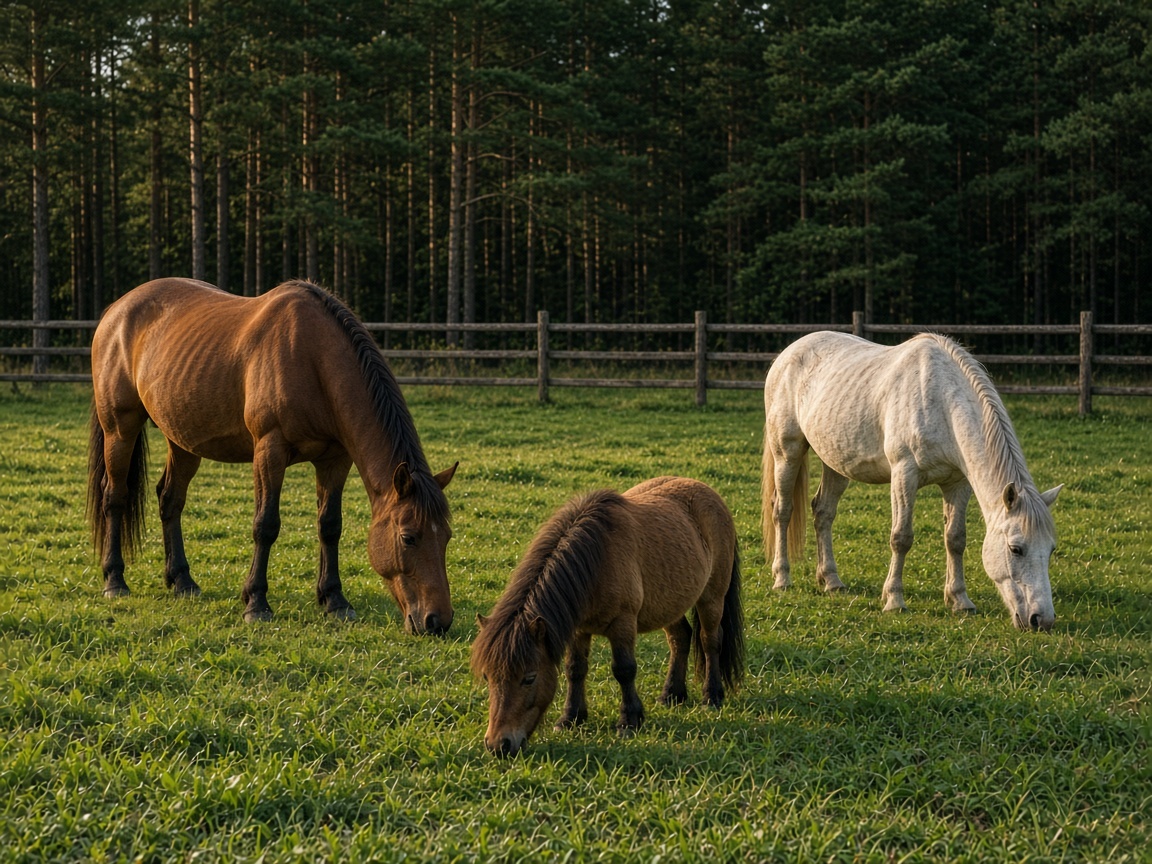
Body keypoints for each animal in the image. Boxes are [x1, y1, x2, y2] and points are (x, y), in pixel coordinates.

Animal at [87, 277, 458, 632]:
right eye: (408, 538)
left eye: (447, 537)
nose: (437, 621)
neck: (313, 359)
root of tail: (116, 311)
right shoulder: (269, 451)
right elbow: (266, 525)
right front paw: (256, 603)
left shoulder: (335, 460)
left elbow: (330, 525)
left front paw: (335, 600)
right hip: (120, 430)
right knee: (115, 497)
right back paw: (115, 580)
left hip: (182, 440)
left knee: (170, 499)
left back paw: (182, 581)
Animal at [471, 476, 744, 757]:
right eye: (488, 677)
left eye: (529, 678)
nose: (498, 745)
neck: (597, 559)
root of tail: (705, 489)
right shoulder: (579, 629)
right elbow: (575, 669)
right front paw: (570, 718)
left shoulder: (622, 624)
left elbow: (624, 670)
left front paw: (629, 720)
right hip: (670, 603)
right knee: (680, 639)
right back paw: (671, 695)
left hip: (712, 597)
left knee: (710, 641)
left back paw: (712, 696)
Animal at [761, 331, 1061, 632]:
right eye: (1016, 549)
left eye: (1050, 550)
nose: (1041, 620)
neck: (942, 402)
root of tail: (788, 353)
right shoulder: (904, 474)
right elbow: (901, 538)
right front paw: (894, 600)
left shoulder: (957, 484)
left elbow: (955, 539)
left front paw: (959, 600)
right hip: (787, 453)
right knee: (783, 511)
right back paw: (782, 578)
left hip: (835, 462)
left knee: (823, 512)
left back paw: (831, 580)